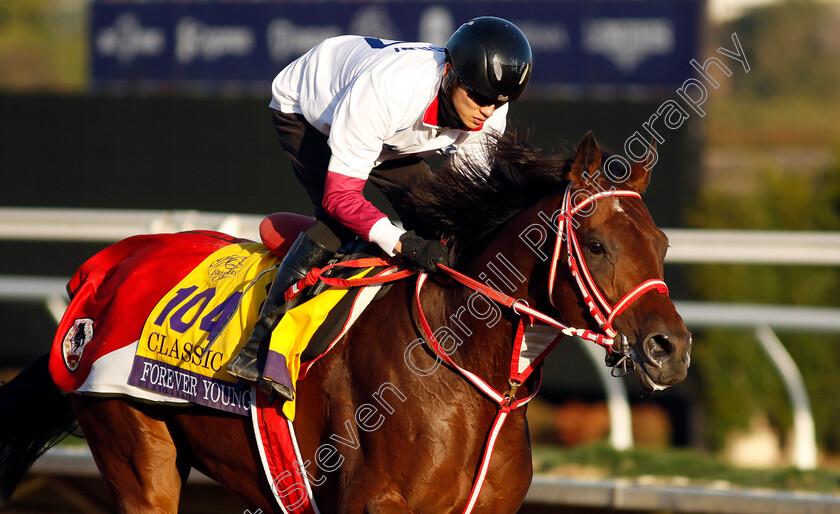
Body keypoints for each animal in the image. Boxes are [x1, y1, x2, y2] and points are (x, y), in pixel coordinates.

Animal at [0, 130, 688, 510]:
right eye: (596, 244)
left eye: (662, 244)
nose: (670, 348)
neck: (463, 370)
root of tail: (103, 269)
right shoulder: (371, 502)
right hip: (136, 454)